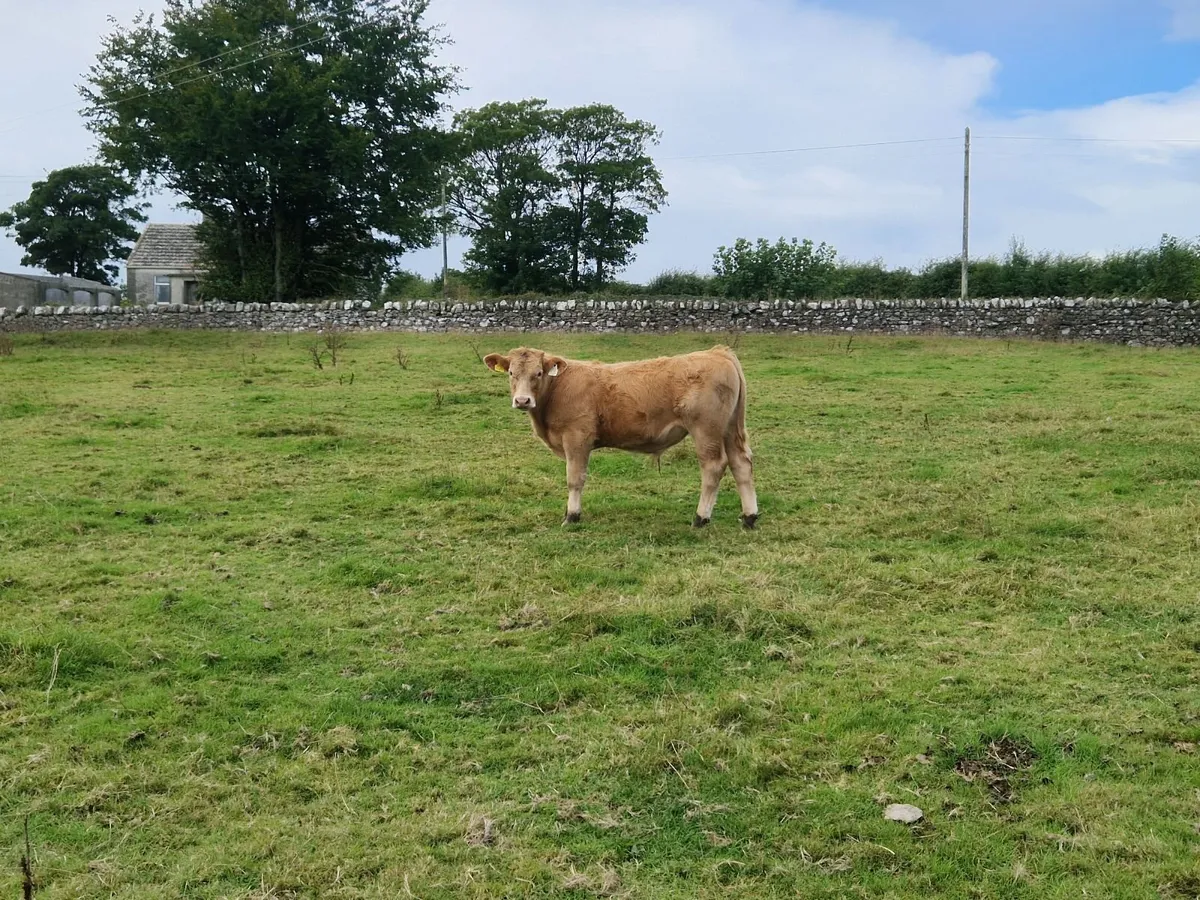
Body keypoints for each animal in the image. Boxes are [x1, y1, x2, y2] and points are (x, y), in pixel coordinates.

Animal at [482, 345, 759, 528]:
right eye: (511, 373)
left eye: (538, 373)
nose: (522, 400)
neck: (557, 389)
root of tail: (717, 352)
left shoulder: (577, 438)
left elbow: (574, 480)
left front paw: (572, 516)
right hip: (729, 429)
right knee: (740, 464)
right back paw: (749, 517)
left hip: (706, 430)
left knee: (714, 467)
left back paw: (701, 518)